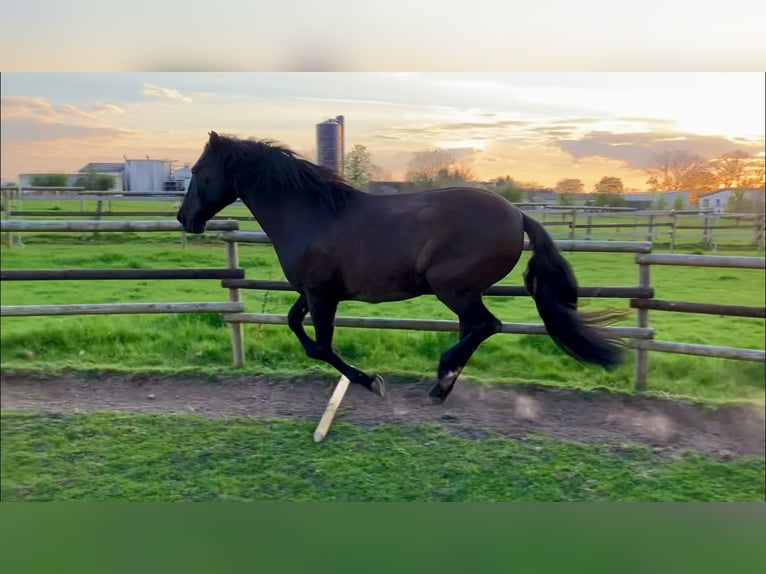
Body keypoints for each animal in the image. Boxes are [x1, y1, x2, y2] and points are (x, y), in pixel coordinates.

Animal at [177, 131, 625, 402]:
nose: (184, 218)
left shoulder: (322, 295)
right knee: (475, 328)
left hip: (452, 287)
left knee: (487, 325)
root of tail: (517, 213)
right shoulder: (314, 291)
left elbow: (322, 346)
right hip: (462, 292)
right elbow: (295, 325)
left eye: (197, 171)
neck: (311, 214)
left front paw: (369, 380)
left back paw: (442, 378)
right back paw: (445, 383)